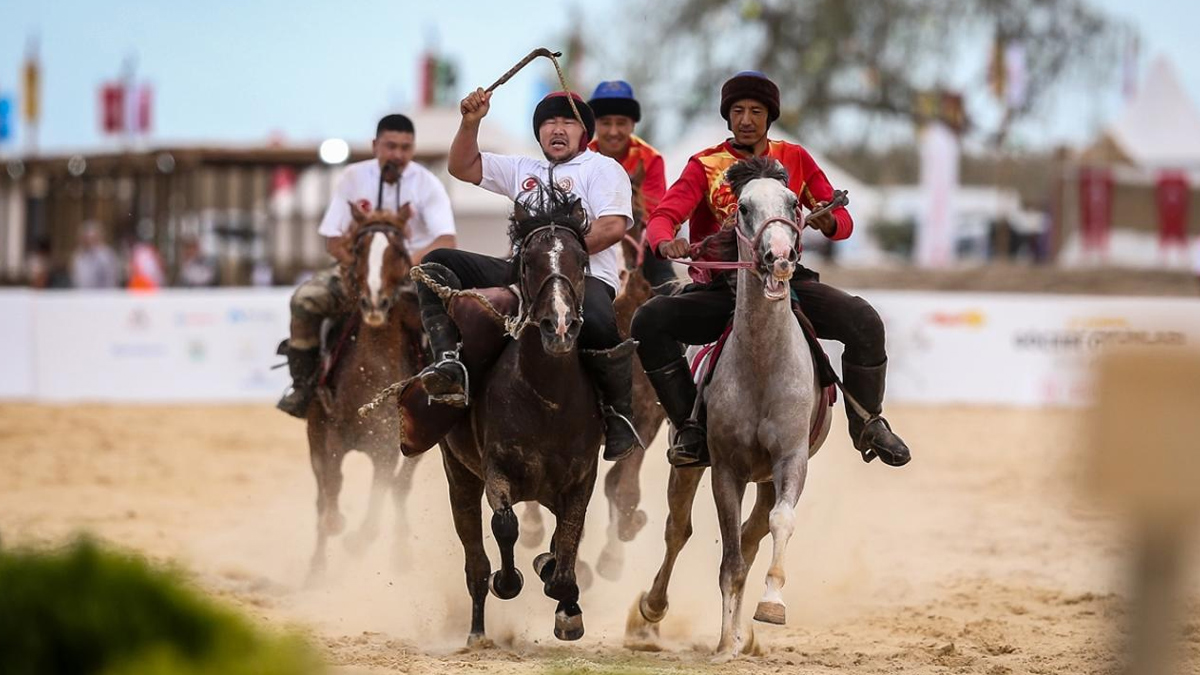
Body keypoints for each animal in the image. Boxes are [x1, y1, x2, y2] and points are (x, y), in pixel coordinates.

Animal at [304, 200, 427, 578]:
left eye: (399, 250)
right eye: (359, 250)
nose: (375, 303)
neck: (369, 373)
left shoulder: (386, 448)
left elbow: (377, 508)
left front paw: (358, 542)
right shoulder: (329, 437)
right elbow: (329, 498)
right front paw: (334, 535)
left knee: (399, 489)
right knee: (323, 497)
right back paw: (316, 569)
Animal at [434, 181, 609, 643]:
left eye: (581, 260)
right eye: (528, 263)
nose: (560, 327)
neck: (547, 399)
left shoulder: (581, 478)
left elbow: (567, 547)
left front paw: (565, 604)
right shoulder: (497, 469)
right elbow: (505, 526)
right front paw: (508, 580)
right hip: (459, 475)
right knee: (475, 563)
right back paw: (477, 631)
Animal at [624, 156, 830, 658]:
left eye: (794, 203)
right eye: (744, 208)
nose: (780, 257)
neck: (761, 365)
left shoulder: (790, 460)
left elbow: (778, 525)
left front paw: (770, 606)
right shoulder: (726, 468)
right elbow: (729, 559)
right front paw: (724, 644)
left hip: (767, 480)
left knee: (756, 535)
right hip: (688, 466)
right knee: (678, 530)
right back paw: (653, 610)